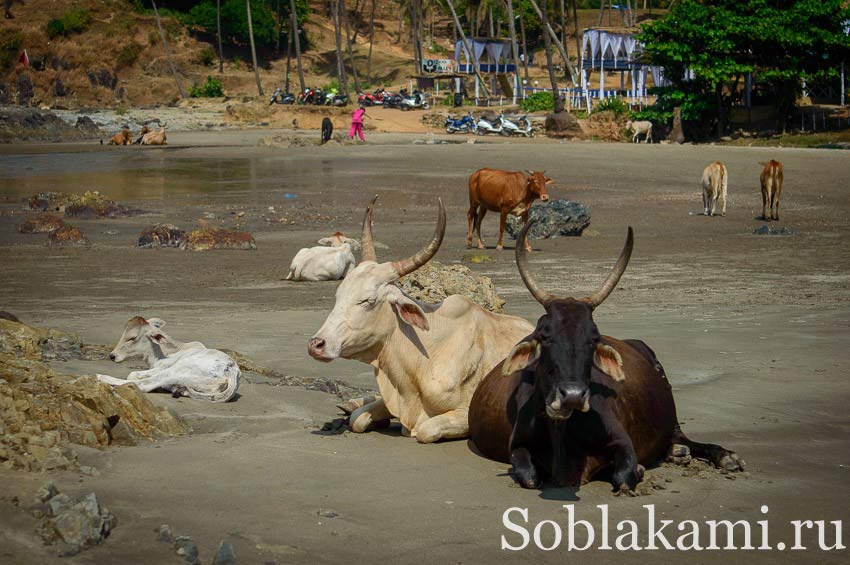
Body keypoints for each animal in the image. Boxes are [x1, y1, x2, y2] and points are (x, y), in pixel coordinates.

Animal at [97, 316, 240, 404]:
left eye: (132, 338)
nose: (112, 356)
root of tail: (232, 371)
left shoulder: (161, 368)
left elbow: (133, 375)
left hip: (175, 371)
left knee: (144, 385)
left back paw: (101, 377)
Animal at [304, 196, 528, 442]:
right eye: (339, 294)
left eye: (368, 301)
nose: (316, 345)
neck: (424, 357)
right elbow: (358, 419)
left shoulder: (465, 413)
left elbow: (425, 430)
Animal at [468, 220, 740, 494]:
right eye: (544, 336)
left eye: (593, 338)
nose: (572, 396)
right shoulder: (518, 447)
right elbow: (530, 476)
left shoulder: (623, 442)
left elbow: (624, 477)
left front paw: (638, 470)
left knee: (681, 436)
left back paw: (719, 456)